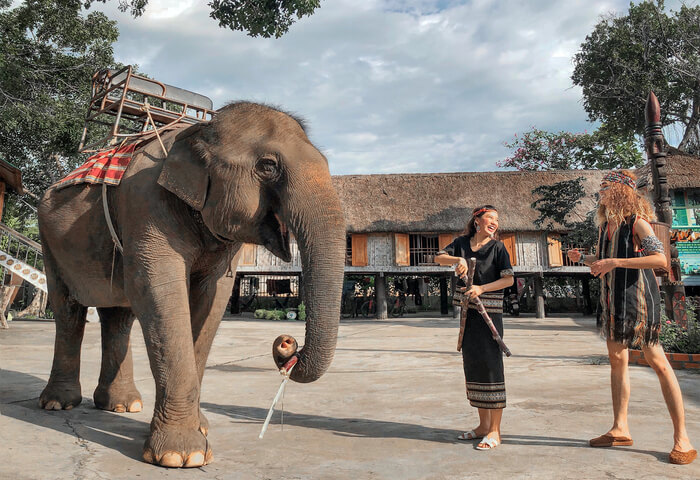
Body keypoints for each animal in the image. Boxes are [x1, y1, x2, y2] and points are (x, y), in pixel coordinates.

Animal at [35, 100, 348, 464]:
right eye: (268, 166)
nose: (286, 343)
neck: (198, 131)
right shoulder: (145, 203)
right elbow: (158, 291)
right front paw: (183, 456)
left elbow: (213, 298)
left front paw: (200, 430)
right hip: (50, 243)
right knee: (68, 311)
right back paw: (58, 404)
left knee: (118, 317)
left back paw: (122, 406)